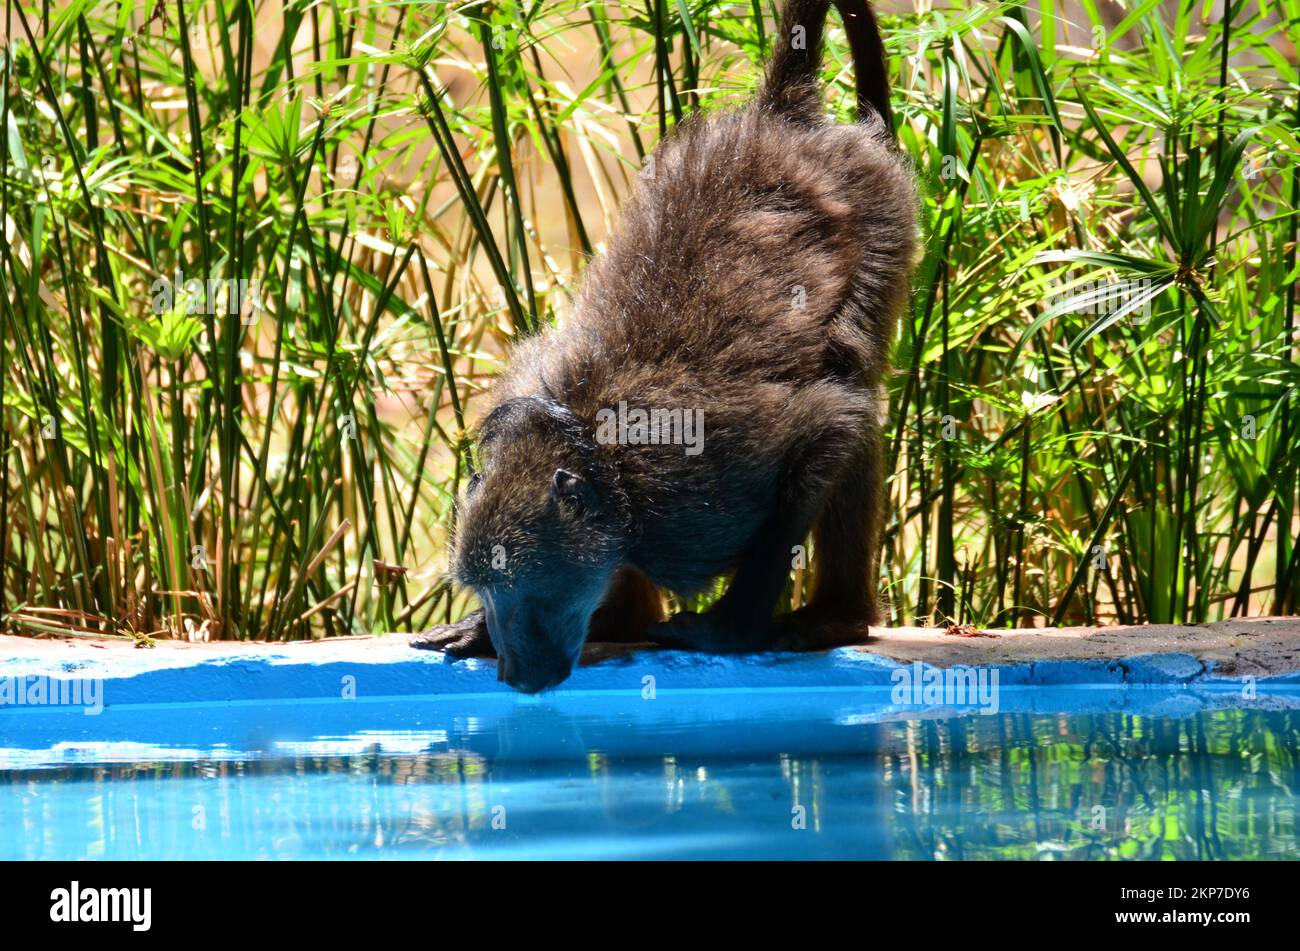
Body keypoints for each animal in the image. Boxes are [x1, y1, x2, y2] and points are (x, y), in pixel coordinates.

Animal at [411, 0, 918, 692]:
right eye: (489, 591)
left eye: (524, 592)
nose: (514, 676)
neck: (594, 448)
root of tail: (781, 119)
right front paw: (481, 631)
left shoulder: (701, 489)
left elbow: (829, 424)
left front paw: (729, 629)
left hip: (882, 220)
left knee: (853, 386)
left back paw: (836, 619)